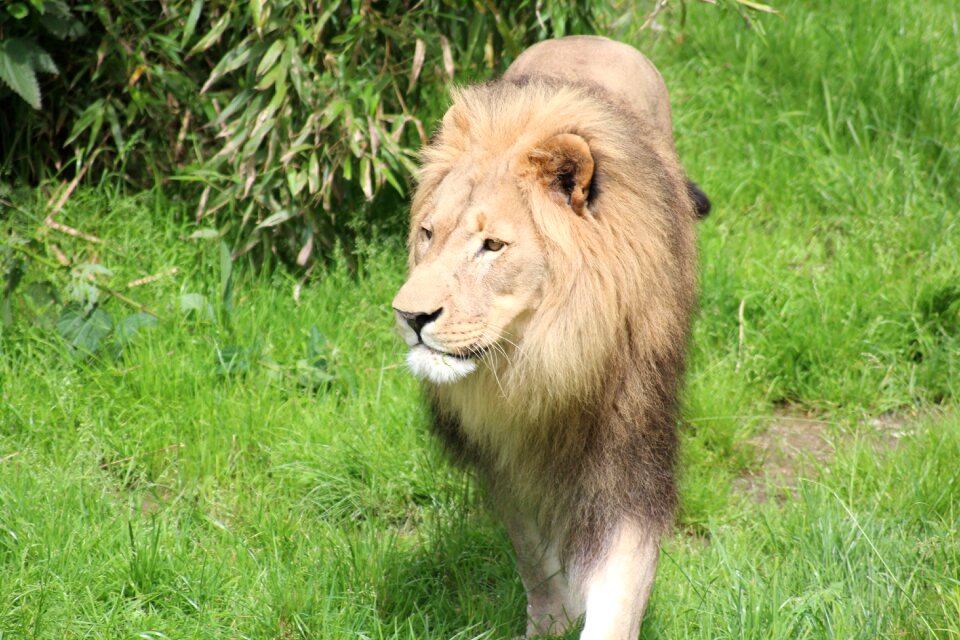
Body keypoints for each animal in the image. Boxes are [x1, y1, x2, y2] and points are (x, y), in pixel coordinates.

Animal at [390, 36, 704, 640]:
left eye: (492, 245)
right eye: (427, 234)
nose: (409, 316)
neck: (548, 357)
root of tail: (589, 37)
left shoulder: (629, 457)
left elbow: (619, 590)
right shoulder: (504, 454)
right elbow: (533, 552)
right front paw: (552, 619)